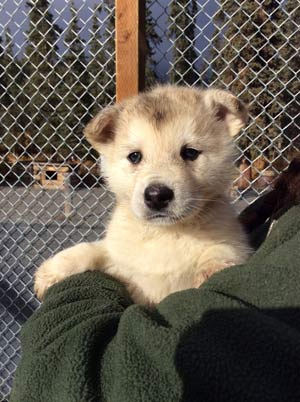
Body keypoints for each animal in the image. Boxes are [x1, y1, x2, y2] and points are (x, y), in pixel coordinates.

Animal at [34, 85, 251, 304]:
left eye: (190, 152)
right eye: (135, 156)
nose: (156, 195)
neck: (164, 234)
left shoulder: (234, 242)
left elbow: (223, 249)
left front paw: (212, 270)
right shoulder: (117, 256)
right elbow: (91, 249)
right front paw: (51, 272)